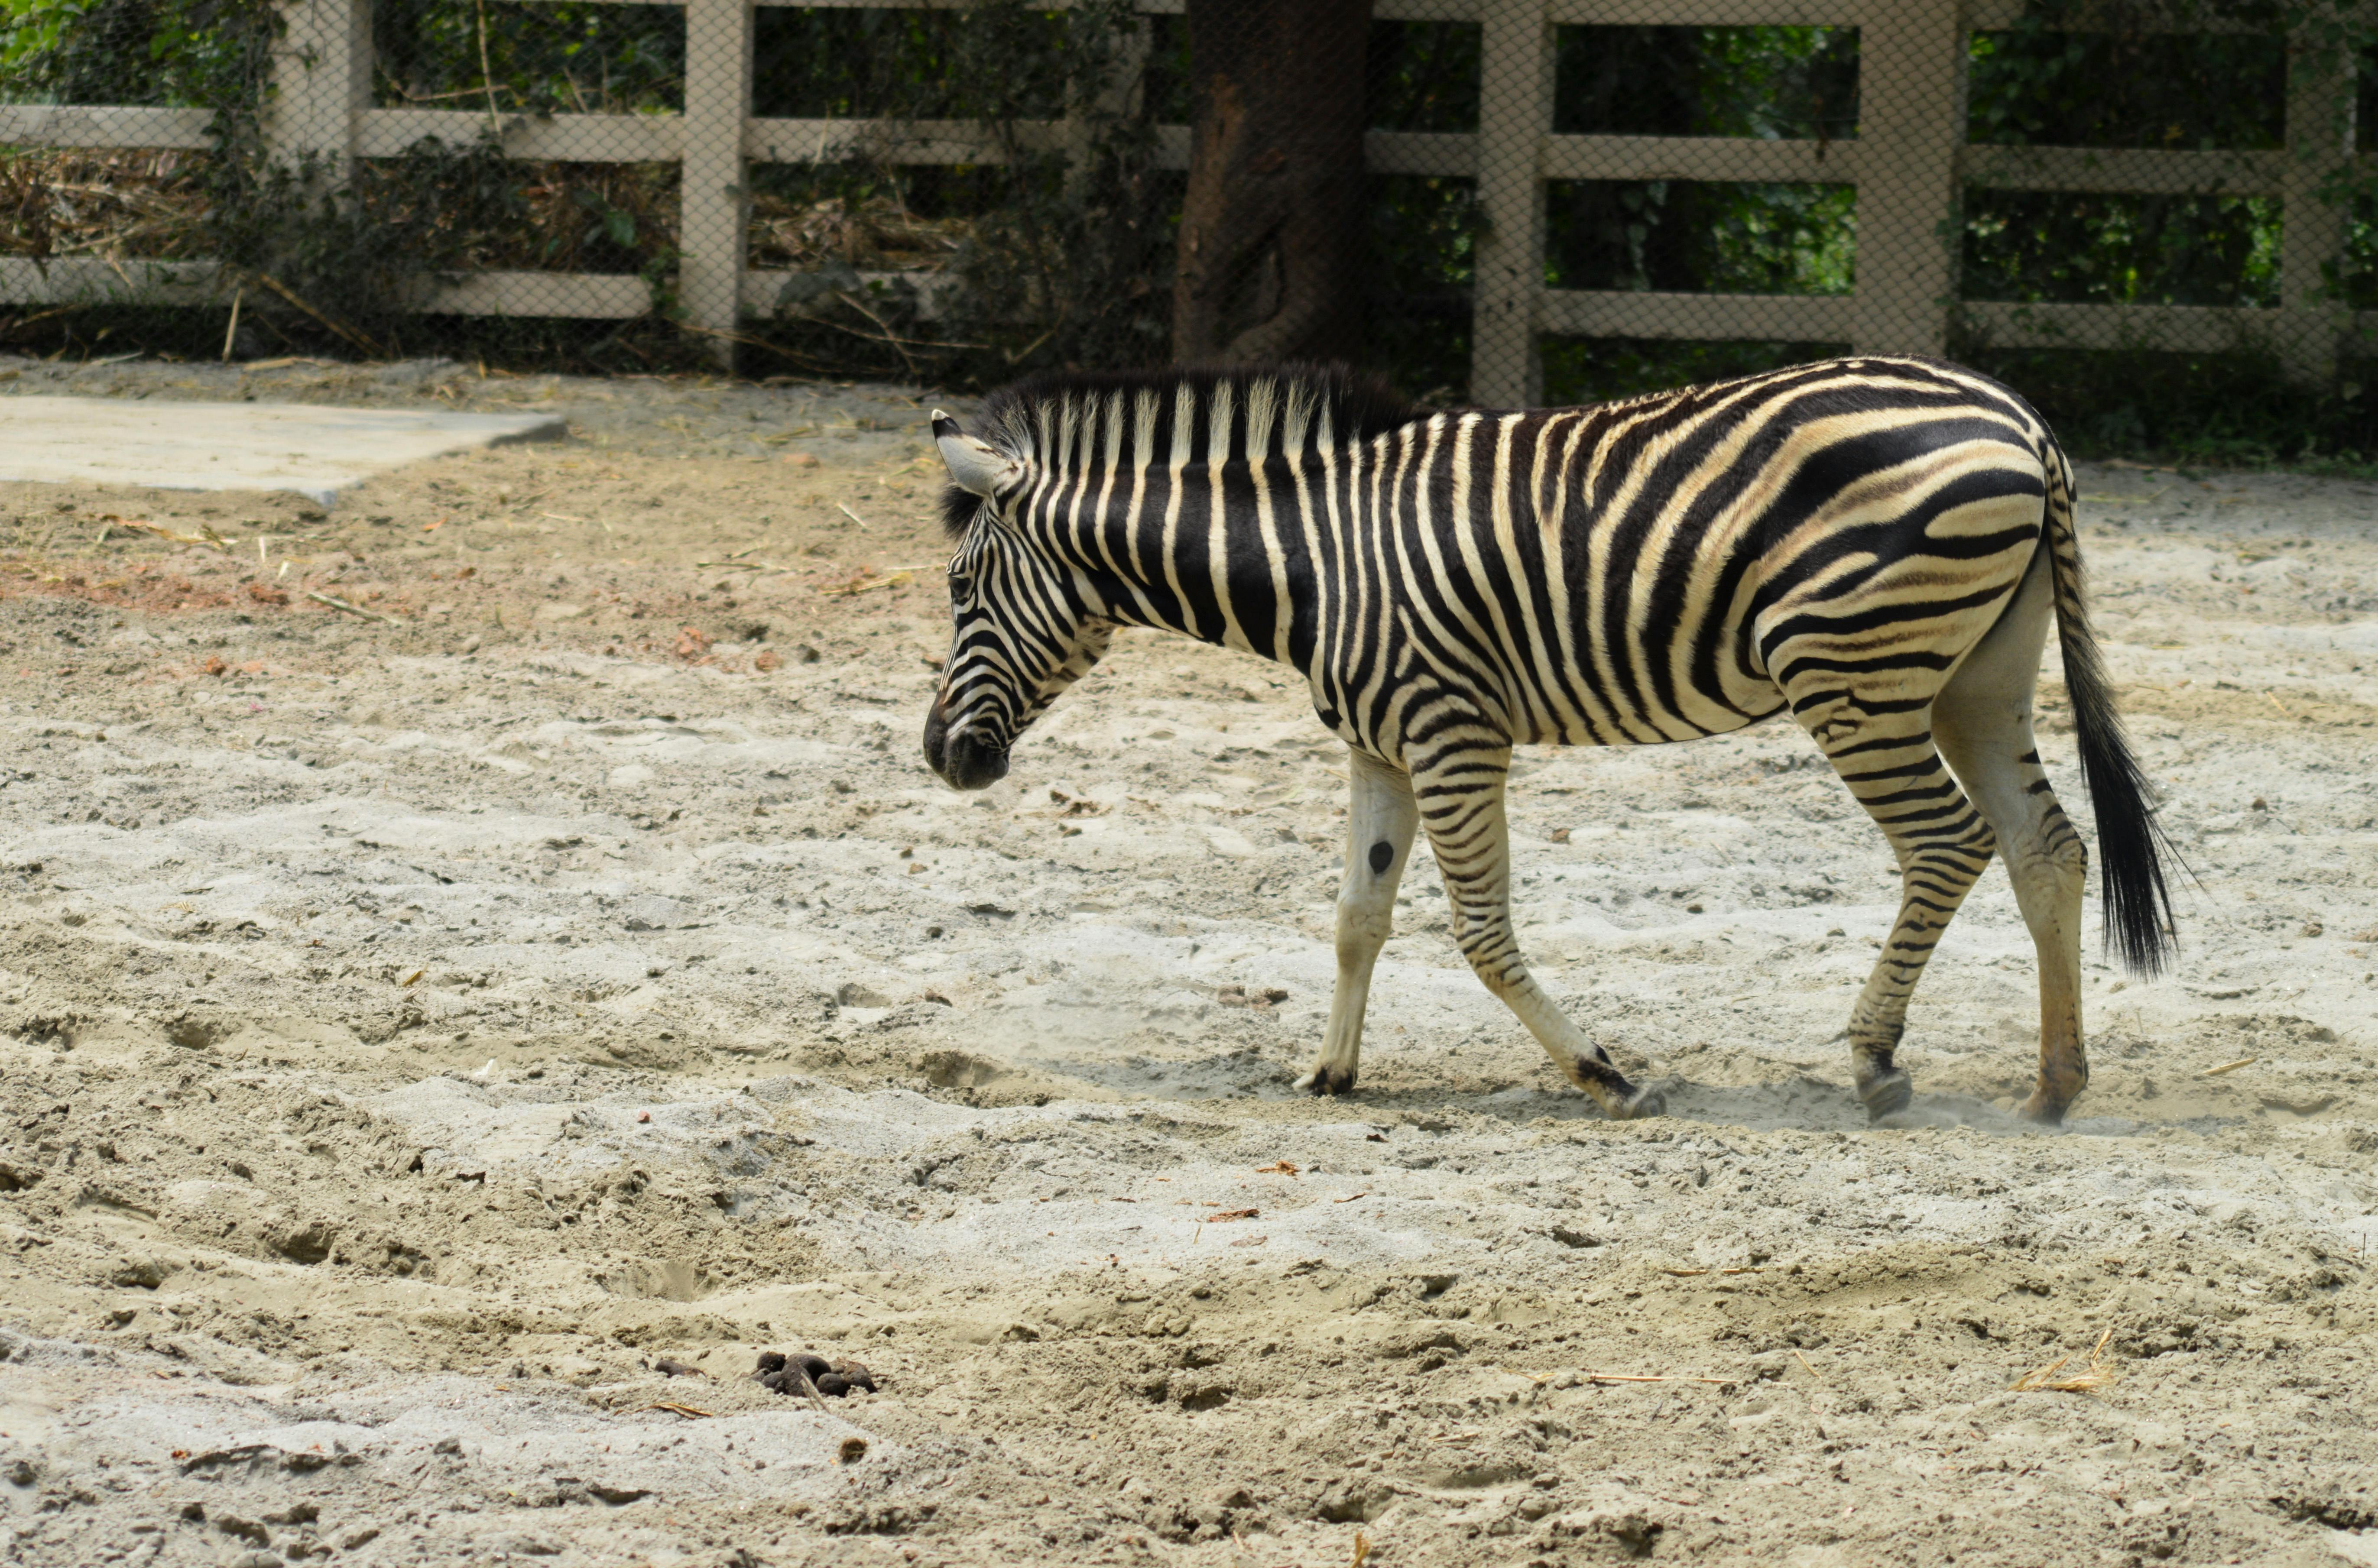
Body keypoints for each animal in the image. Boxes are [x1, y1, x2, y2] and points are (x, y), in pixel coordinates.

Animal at [920, 357, 2175, 1126]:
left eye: (961, 587)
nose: (941, 758)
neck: (1313, 563)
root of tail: (2019, 419)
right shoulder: (1380, 746)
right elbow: (1357, 915)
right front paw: (1329, 1070)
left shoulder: (1452, 729)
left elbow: (1479, 931)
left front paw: (1605, 1075)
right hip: (1977, 679)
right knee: (2047, 848)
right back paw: (2054, 1085)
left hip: (1851, 672)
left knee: (1947, 844)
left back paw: (1875, 1059)